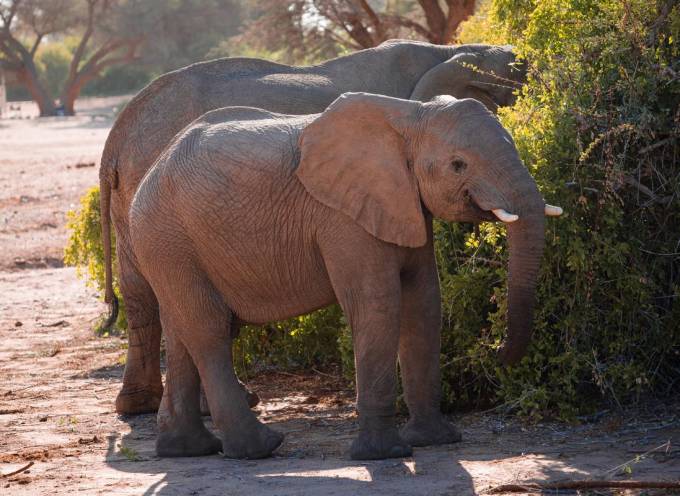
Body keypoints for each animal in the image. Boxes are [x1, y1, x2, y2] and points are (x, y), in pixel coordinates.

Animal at [129, 91, 564, 460]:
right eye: (459, 165)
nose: (496, 352)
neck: (410, 116)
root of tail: (149, 173)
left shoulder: (404, 203)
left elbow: (424, 302)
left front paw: (435, 441)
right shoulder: (343, 218)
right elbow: (378, 304)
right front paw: (385, 455)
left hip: (171, 246)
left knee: (183, 330)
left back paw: (187, 450)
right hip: (167, 237)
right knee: (210, 330)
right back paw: (260, 449)